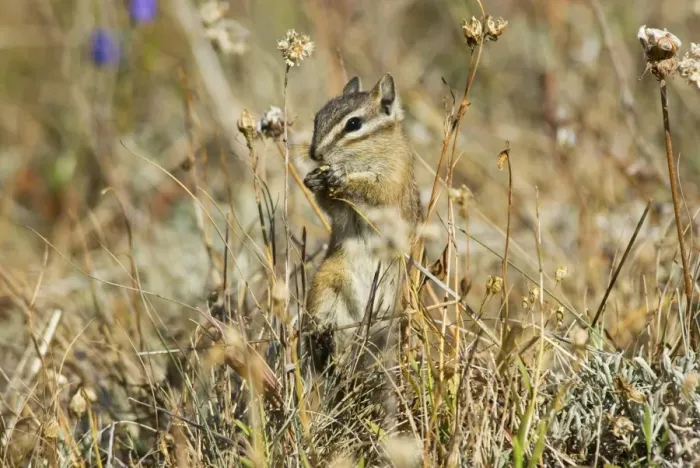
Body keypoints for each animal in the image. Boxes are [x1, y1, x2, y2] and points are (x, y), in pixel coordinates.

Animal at [303, 73, 422, 378]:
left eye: (353, 124)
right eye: (317, 118)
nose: (315, 154)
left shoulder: (393, 180)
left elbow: (375, 190)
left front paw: (341, 177)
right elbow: (331, 206)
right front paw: (314, 180)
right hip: (328, 281)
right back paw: (325, 338)